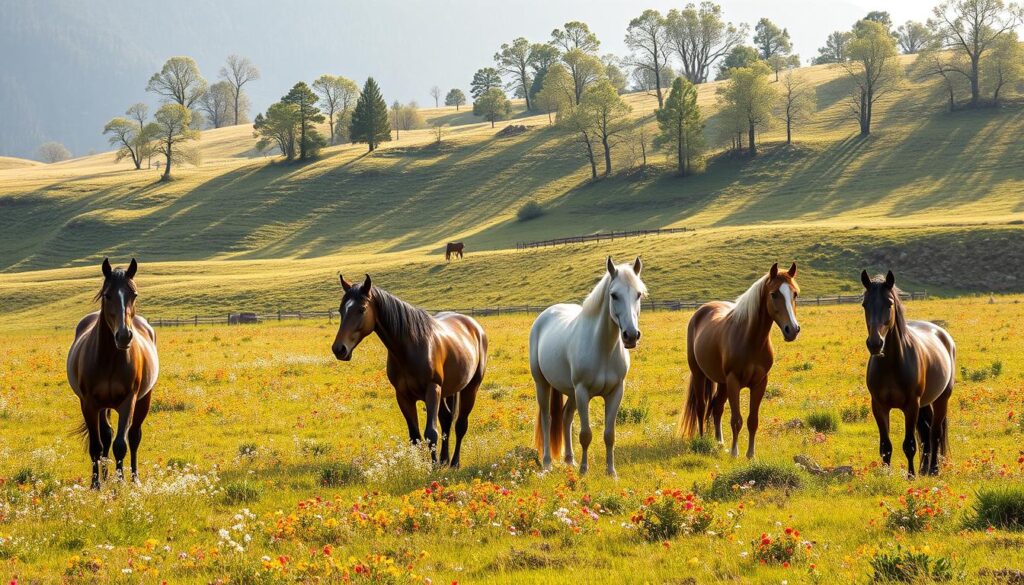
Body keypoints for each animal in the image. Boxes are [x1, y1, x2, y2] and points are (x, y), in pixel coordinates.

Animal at [67, 259, 159, 489]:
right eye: (107, 295)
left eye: (134, 294)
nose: (124, 336)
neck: (109, 359)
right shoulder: (89, 404)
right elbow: (96, 445)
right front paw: (96, 485)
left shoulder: (128, 402)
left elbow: (120, 445)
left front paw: (121, 483)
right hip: (102, 406)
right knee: (106, 435)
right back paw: (106, 477)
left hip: (144, 399)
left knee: (133, 437)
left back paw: (134, 479)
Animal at [331, 274, 487, 467]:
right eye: (341, 310)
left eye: (361, 309)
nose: (339, 349)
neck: (411, 347)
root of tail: (474, 326)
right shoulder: (403, 396)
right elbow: (415, 437)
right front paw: (421, 466)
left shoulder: (432, 390)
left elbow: (431, 434)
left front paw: (433, 468)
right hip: (447, 391)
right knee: (446, 419)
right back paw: (444, 459)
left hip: (470, 388)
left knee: (460, 425)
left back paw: (454, 463)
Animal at [531, 256, 646, 477]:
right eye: (614, 295)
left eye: (638, 294)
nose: (630, 335)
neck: (603, 349)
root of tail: (545, 315)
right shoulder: (583, 391)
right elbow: (585, 434)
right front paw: (584, 471)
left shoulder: (615, 392)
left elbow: (609, 434)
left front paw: (611, 472)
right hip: (543, 384)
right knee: (547, 419)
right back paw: (548, 463)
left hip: (571, 392)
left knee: (566, 417)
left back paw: (570, 460)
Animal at [678, 263, 801, 459]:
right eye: (774, 294)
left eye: (795, 293)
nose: (793, 330)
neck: (750, 340)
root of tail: (702, 310)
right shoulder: (733, 381)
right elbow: (736, 420)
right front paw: (735, 452)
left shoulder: (760, 383)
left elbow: (752, 420)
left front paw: (750, 454)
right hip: (699, 374)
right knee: (701, 406)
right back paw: (702, 439)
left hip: (721, 383)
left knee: (717, 407)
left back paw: (720, 442)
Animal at [861, 270, 955, 477]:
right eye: (864, 304)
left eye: (889, 303)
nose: (875, 344)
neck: (891, 365)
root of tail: (943, 335)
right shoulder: (879, 406)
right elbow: (885, 446)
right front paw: (886, 475)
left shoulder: (911, 406)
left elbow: (909, 445)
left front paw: (911, 476)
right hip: (925, 403)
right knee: (926, 433)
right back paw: (924, 469)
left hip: (941, 399)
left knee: (934, 433)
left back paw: (933, 469)